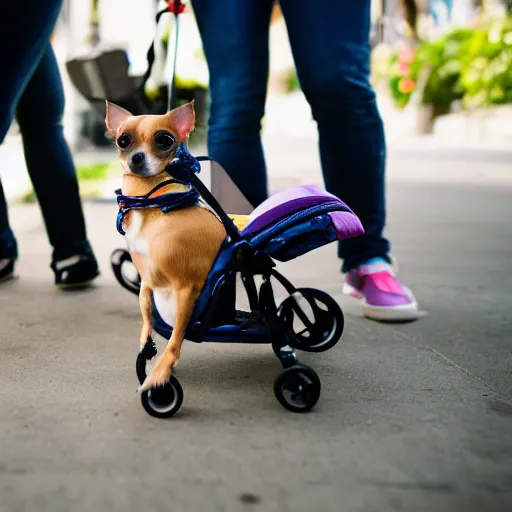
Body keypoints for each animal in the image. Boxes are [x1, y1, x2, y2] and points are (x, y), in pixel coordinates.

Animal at [106, 101, 226, 392]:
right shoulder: (147, 285)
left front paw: (159, 374)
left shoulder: (188, 289)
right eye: (123, 140)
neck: (151, 202)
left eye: (164, 140)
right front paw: (146, 350)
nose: (137, 158)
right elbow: (148, 321)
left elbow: (176, 340)